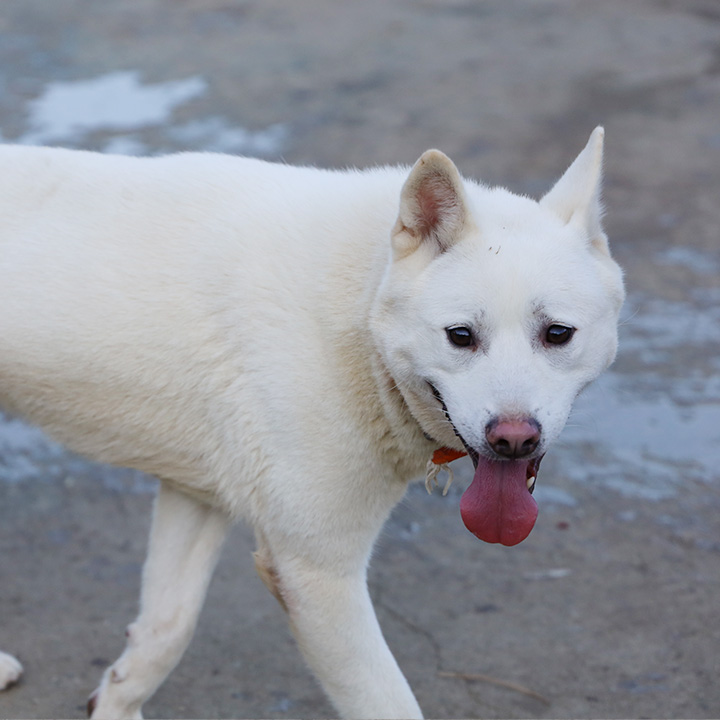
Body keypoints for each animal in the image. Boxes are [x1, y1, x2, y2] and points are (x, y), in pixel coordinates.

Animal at [0, 126, 620, 716]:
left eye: (557, 334)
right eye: (460, 336)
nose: (514, 440)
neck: (359, 309)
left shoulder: (195, 497)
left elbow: (164, 633)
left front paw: (115, 703)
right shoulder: (316, 574)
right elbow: (388, 703)